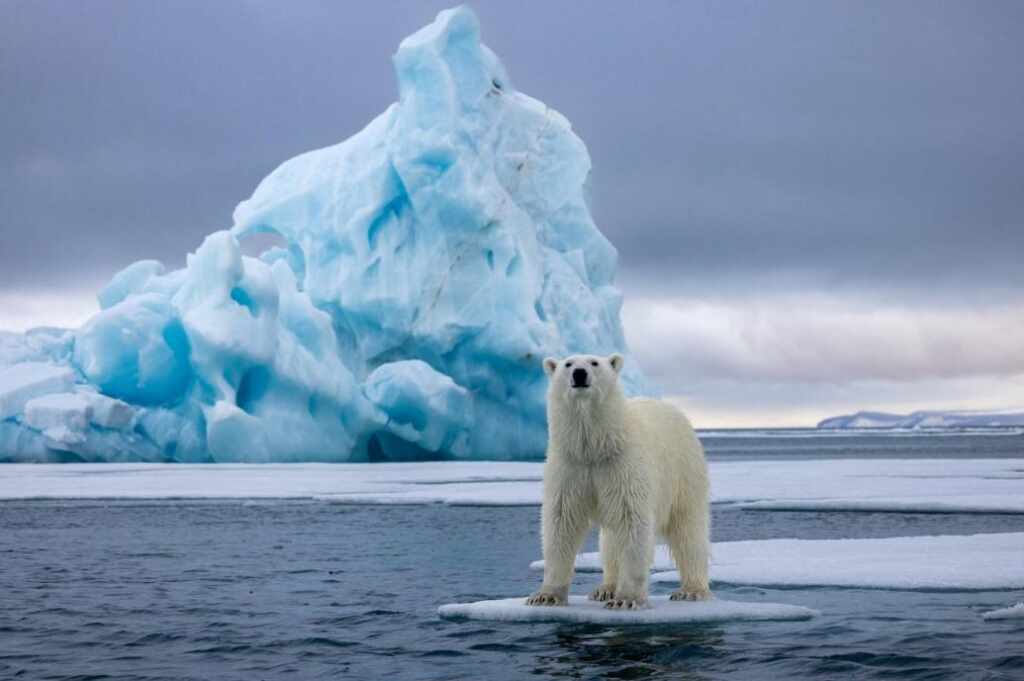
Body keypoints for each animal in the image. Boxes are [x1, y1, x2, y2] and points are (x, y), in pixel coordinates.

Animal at [526, 353, 711, 609]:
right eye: (568, 364)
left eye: (594, 362)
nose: (579, 374)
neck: (596, 447)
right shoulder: (570, 466)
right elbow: (561, 522)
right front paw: (545, 596)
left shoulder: (623, 465)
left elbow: (632, 522)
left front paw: (626, 599)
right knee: (611, 541)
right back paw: (605, 588)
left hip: (684, 473)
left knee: (688, 531)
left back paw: (691, 590)